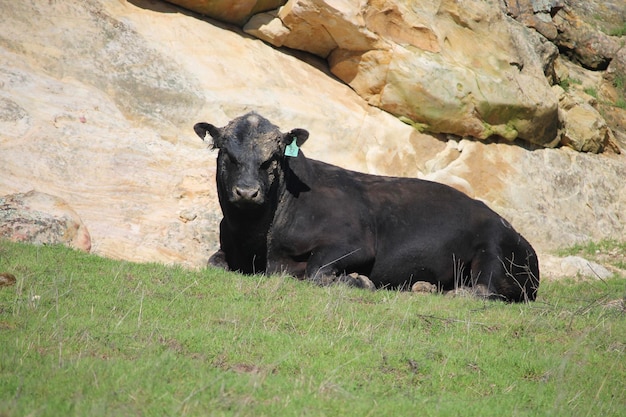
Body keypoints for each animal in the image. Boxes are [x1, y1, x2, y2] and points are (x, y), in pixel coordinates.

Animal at [193, 111, 540, 300]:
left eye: (272, 159)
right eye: (228, 154)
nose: (247, 192)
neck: (259, 242)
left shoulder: (354, 242)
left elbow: (316, 271)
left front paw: (358, 281)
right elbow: (212, 261)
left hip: (492, 249)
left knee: (482, 290)